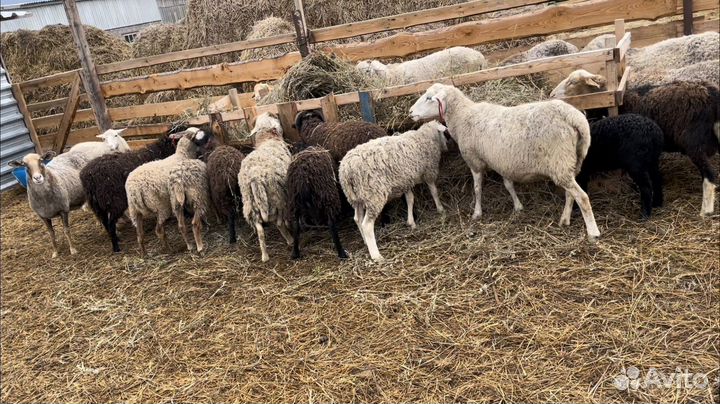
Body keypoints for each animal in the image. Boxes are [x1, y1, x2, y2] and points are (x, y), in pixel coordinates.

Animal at [238, 112, 293, 262]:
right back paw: (290, 240)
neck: (267, 139)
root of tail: (255, 178)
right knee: (279, 223)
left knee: (259, 229)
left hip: (250, 203)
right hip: (277, 198)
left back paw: (265, 256)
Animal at [339, 121, 449, 261]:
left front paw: (411, 222)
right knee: (367, 225)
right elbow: (433, 191)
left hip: (357, 197)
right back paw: (376, 255)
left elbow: (410, 199)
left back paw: (365, 242)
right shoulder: (429, 171)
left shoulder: (405, 180)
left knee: (357, 219)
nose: (447, 146)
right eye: (444, 133)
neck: (425, 137)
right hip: (373, 195)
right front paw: (440, 208)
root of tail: (347, 170)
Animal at [409, 83, 601, 241]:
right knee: (571, 194)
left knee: (582, 197)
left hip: (559, 161)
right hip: (570, 162)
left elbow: (477, 188)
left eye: (428, 98)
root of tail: (574, 118)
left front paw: (477, 213)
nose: (410, 112)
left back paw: (593, 233)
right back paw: (564, 219)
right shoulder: (503, 163)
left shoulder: (474, 161)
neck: (462, 115)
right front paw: (518, 207)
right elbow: (508, 185)